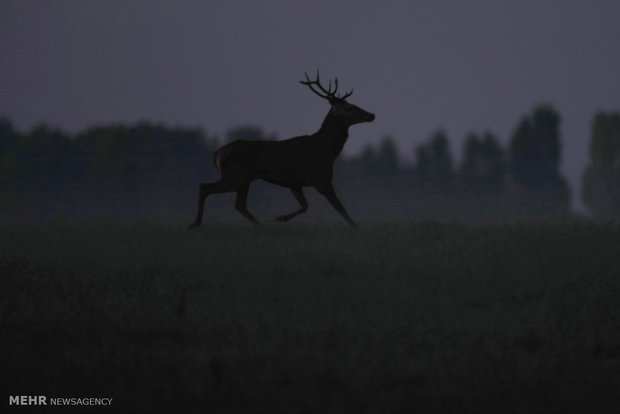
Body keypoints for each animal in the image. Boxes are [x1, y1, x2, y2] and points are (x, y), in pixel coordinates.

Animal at [188, 71, 372, 228]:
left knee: (239, 204)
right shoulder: (321, 179)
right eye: (351, 107)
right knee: (205, 188)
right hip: (236, 176)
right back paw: (196, 224)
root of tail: (217, 154)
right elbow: (340, 208)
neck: (328, 150)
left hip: (242, 179)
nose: (372, 115)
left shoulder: (294, 183)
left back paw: (260, 226)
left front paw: (280, 217)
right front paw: (355, 227)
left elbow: (305, 206)